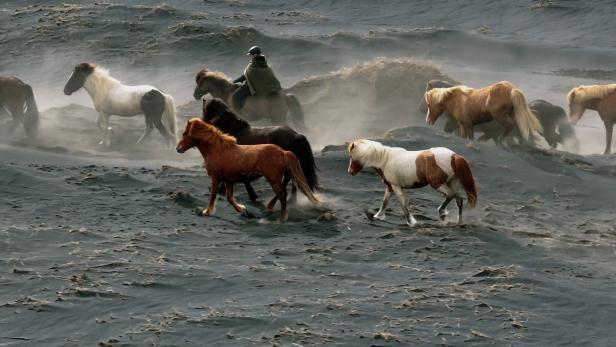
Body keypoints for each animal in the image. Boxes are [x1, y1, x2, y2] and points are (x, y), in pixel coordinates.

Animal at [173, 119, 318, 223]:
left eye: (185, 134)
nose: (178, 149)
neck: (218, 151)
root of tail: (283, 152)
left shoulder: (216, 178)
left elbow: (213, 196)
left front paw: (206, 212)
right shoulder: (228, 180)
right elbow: (229, 198)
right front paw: (243, 210)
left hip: (273, 179)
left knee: (282, 194)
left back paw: (281, 218)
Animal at [346, 140, 476, 227]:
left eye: (352, 157)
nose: (350, 172)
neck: (385, 159)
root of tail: (454, 156)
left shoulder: (397, 187)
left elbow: (403, 204)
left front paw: (411, 222)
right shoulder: (390, 187)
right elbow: (385, 202)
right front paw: (377, 216)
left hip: (438, 184)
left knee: (451, 195)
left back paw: (442, 213)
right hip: (452, 182)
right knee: (459, 200)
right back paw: (459, 222)